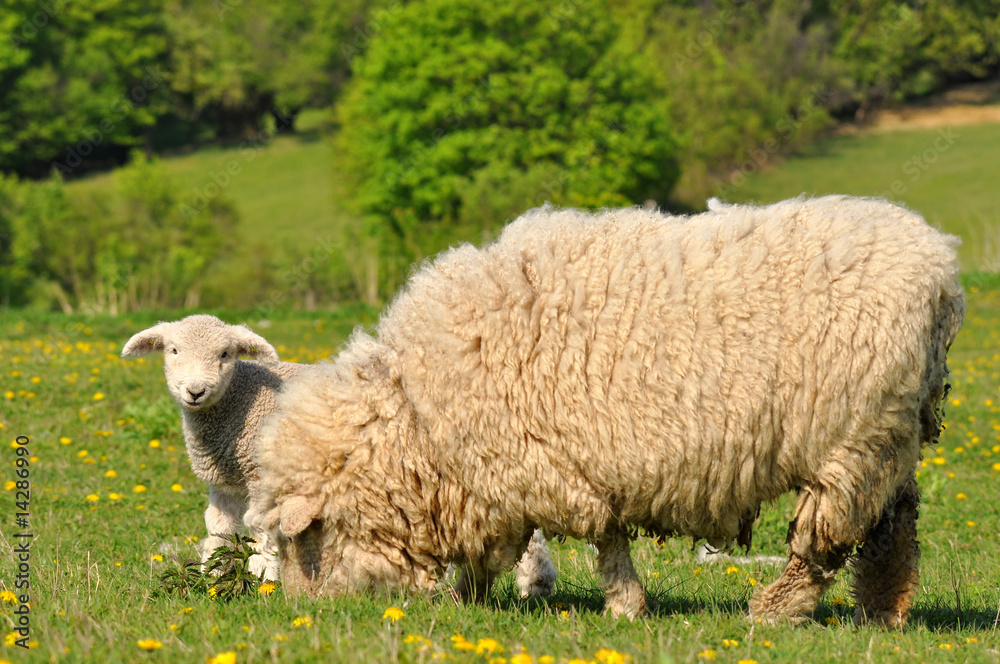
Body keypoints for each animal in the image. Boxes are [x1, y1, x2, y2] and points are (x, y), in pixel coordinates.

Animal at [250, 195, 960, 624]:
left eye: (304, 538)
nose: (302, 615)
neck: (420, 416)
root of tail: (942, 268)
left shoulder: (551, 467)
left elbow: (601, 541)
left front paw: (622, 606)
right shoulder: (520, 473)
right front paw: (469, 597)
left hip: (849, 440)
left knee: (826, 541)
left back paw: (775, 610)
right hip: (884, 436)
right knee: (895, 523)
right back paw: (883, 612)